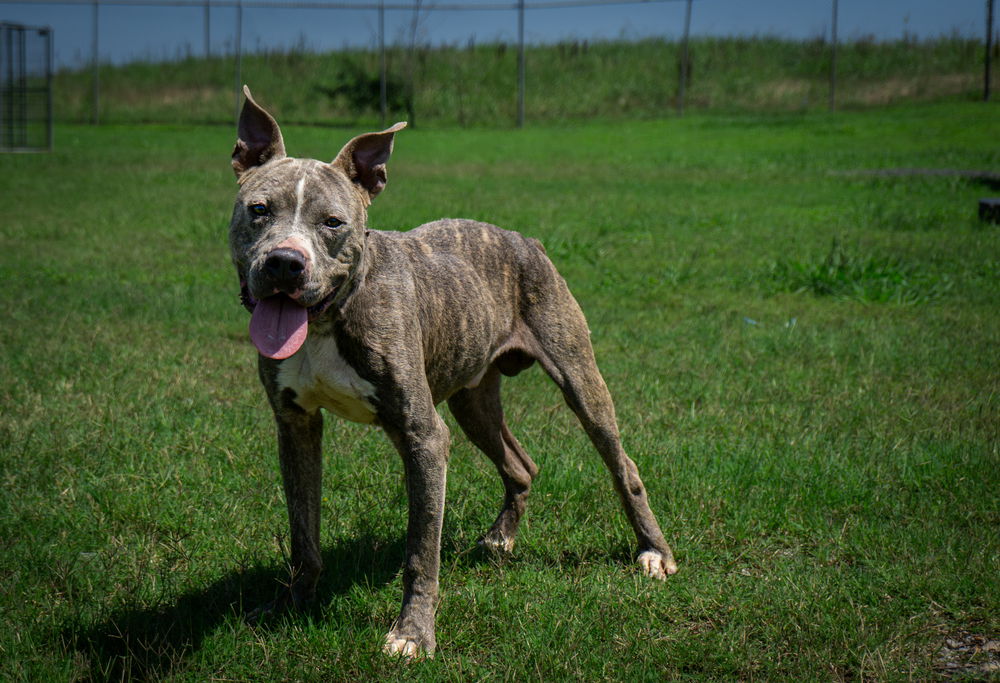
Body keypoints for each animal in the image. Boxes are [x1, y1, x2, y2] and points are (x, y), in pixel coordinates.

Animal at [228, 85, 680, 656]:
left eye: (332, 223)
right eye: (259, 210)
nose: (286, 263)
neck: (330, 318)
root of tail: (525, 239)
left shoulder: (423, 434)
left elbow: (421, 550)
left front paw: (412, 634)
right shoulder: (295, 425)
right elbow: (302, 530)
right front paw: (292, 602)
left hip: (578, 377)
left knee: (624, 467)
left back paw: (654, 552)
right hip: (473, 399)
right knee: (521, 465)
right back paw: (500, 538)